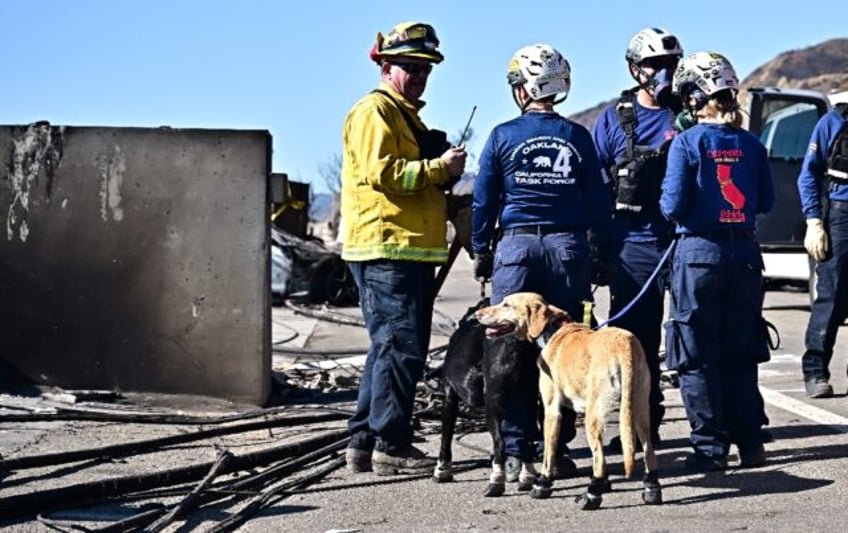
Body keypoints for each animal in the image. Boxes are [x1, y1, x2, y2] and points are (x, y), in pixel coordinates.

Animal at [430, 300, 544, 494]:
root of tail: (515, 342)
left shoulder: (449, 395)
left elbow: (446, 436)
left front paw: (442, 470)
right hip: (529, 400)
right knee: (528, 439)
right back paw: (526, 477)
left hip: (492, 404)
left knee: (500, 444)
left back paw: (496, 481)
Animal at [474, 294, 660, 510]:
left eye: (506, 305)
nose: (478, 314)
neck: (552, 330)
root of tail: (624, 345)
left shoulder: (552, 411)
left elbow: (549, 453)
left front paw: (542, 484)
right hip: (639, 411)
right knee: (648, 452)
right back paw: (652, 489)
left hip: (593, 417)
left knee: (599, 460)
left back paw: (591, 496)